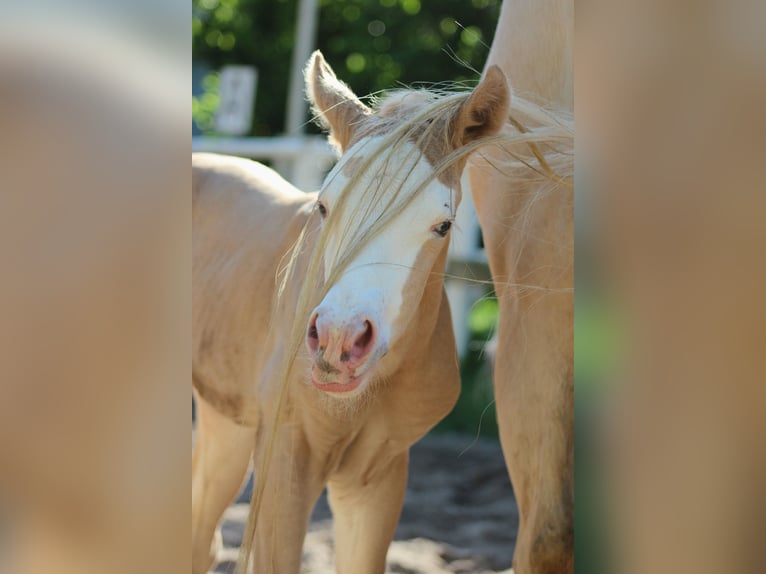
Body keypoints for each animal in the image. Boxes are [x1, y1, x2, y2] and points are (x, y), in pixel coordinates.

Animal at [191, 51, 511, 573]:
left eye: (443, 225)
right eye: (323, 206)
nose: (338, 340)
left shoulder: (376, 476)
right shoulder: (285, 459)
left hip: (226, 420)